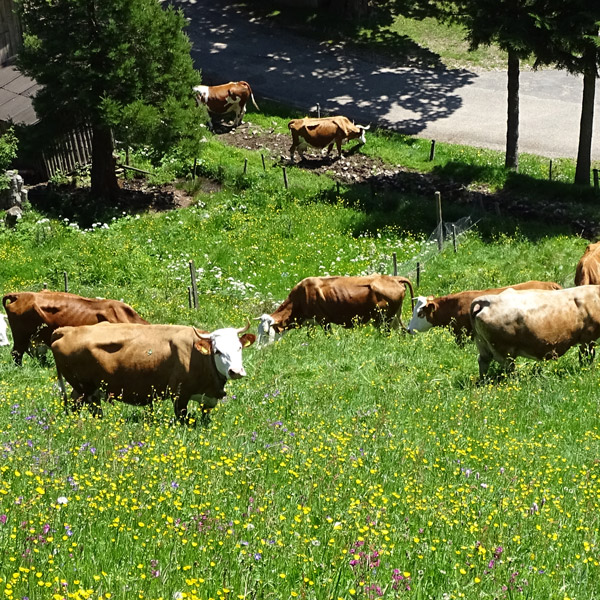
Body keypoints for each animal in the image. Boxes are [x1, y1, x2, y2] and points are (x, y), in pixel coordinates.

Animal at [51, 322, 255, 420]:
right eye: (217, 351)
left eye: (239, 347)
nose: (236, 371)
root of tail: (68, 330)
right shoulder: (179, 394)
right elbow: (182, 417)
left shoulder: (208, 398)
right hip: (82, 388)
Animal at [255, 274, 414, 344]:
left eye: (266, 332)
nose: (258, 349)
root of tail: (394, 278)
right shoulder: (311, 322)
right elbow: (310, 336)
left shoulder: (323, 320)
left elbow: (328, 335)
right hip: (394, 318)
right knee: (402, 331)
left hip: (385, 319)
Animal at [472, 284, 600, 378]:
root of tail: (488, 301)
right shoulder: (588, 338)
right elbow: (588, 356)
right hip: (504, 350)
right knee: (508, 368)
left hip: (482, 344)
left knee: (483, 361)